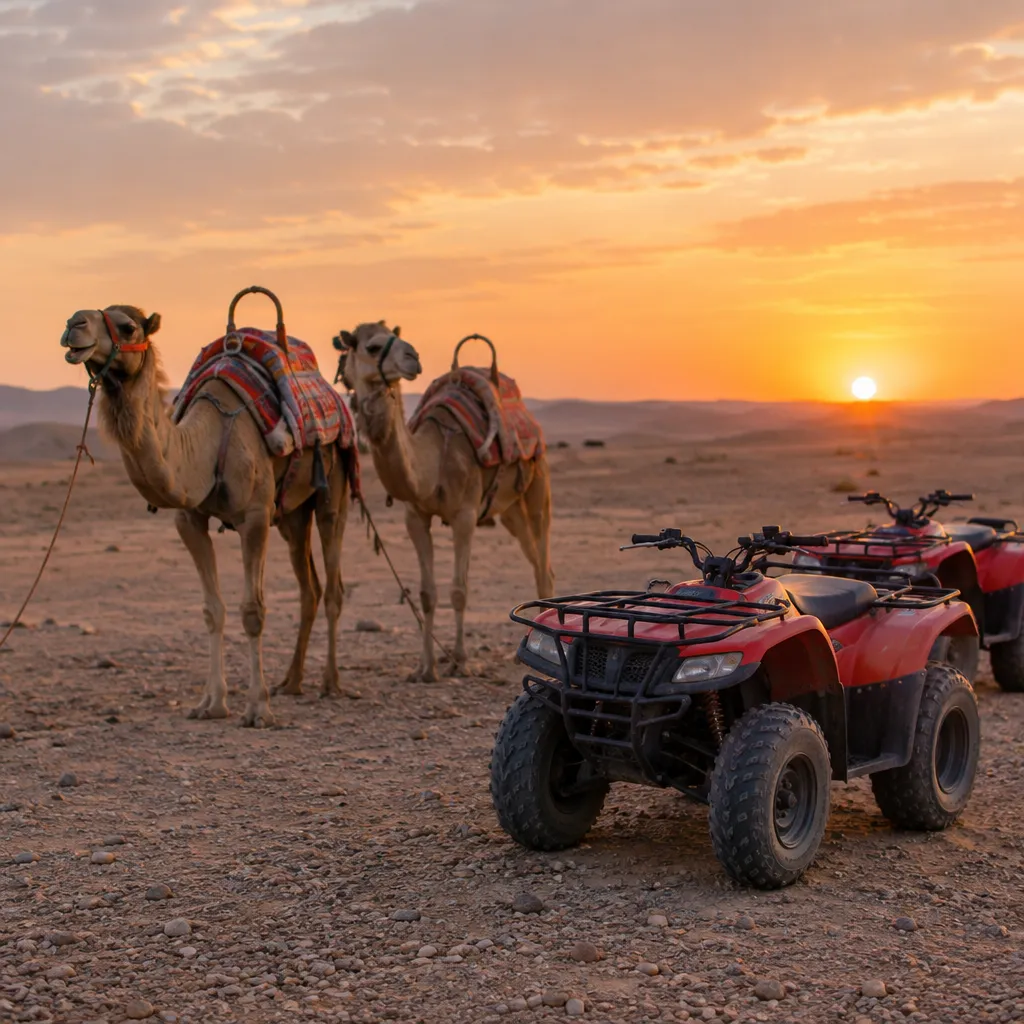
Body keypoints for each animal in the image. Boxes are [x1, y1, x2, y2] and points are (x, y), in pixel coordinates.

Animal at [60, 305, 350, 728]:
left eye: (128, 327)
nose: (73, 324)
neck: (206, 444)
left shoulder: (255, 518)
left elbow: (252, 611)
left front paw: (257, 709)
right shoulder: (189, 521)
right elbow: (212, 610)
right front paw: (211, 703)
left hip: (334, 489)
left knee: (332, 586)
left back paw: (330, 682)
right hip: (292, 516)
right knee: (308, 588)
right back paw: (292, 682)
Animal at [337, 321, 554, 680]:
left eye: (396, 337)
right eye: (372, 346)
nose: (413, 357)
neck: (434, 458)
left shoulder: (465, 515)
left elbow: (458, 590)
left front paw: (460, 661)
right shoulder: (415, 517)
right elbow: (427, 594)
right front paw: (425, 667)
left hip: (537, 484)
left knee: (543, 561)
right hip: (510, 511)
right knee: (538, 561)